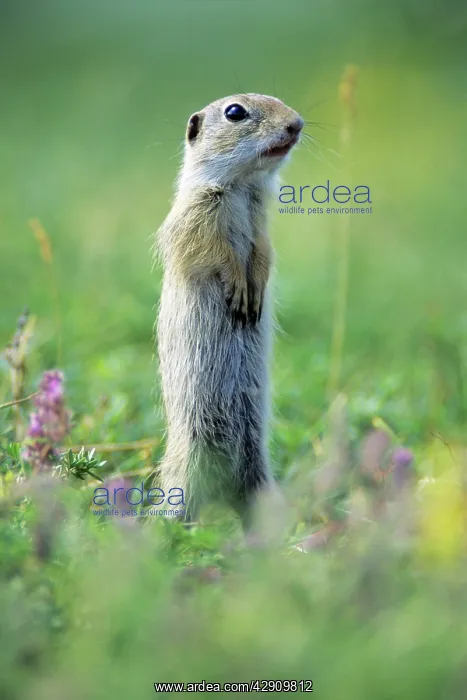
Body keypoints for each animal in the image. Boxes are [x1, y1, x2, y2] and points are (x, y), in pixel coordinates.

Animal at [156, 94, 303, 526]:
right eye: (234, 112)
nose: (297, 124)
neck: (241, 186)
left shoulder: (261, 222)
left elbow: (263, 252)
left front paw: (255, 289)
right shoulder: (197, 216)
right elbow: (214, 253)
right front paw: (238, 287)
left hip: (258, 473)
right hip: (186, 469)